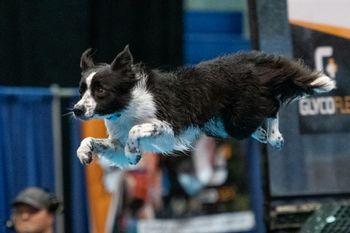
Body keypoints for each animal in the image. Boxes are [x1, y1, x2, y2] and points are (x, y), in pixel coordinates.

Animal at [72, 44, 334, 167]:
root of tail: (251, 60)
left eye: (101, 90)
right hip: (222, 123)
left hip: (238, 118)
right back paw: (264, 135)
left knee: (272, 105)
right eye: (82, 90)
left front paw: (133, 152)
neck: (125, 107)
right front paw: (85, 152)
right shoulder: (116, 141)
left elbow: (136, 132)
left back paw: (275, 136)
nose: (76, 110)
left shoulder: (168, 125)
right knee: (260, 117)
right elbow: (93, 141)